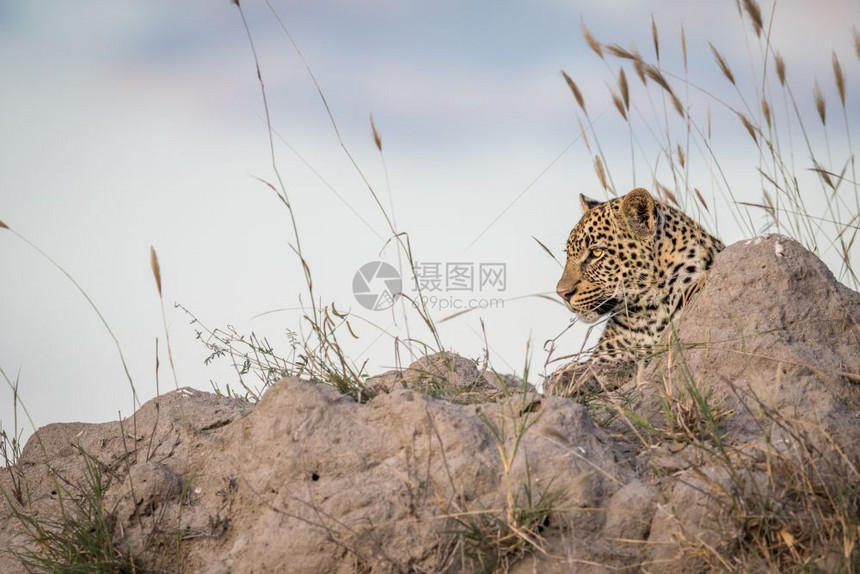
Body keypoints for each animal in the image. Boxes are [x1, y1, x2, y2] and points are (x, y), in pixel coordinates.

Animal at [544, 189, 724, 396]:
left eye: (596, 253)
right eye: (568, 254)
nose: (562, 293)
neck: (646, 313)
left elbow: (628, 364)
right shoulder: (607, 353)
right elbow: (595, 363)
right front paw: (561, 378)